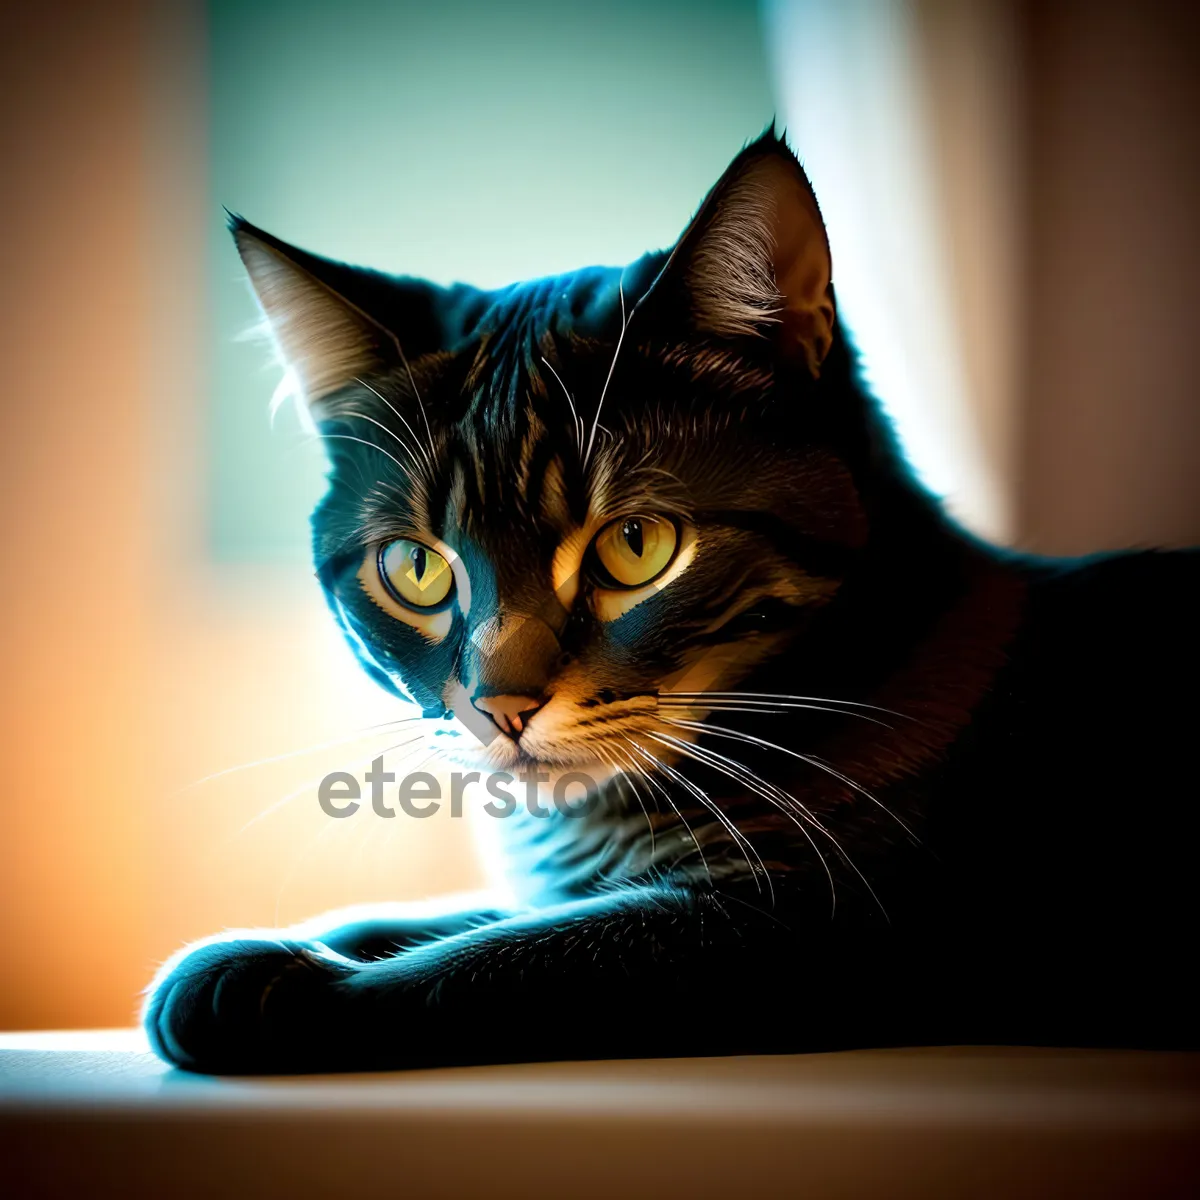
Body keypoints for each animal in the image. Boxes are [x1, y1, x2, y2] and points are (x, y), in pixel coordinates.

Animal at [145, 133, 1195, 1080]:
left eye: (636, 546)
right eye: (416, 569)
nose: (499, 705)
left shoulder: (813, 924)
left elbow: (505, 957)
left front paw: (280, 984)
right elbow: (477, 916)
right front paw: (313, 938)